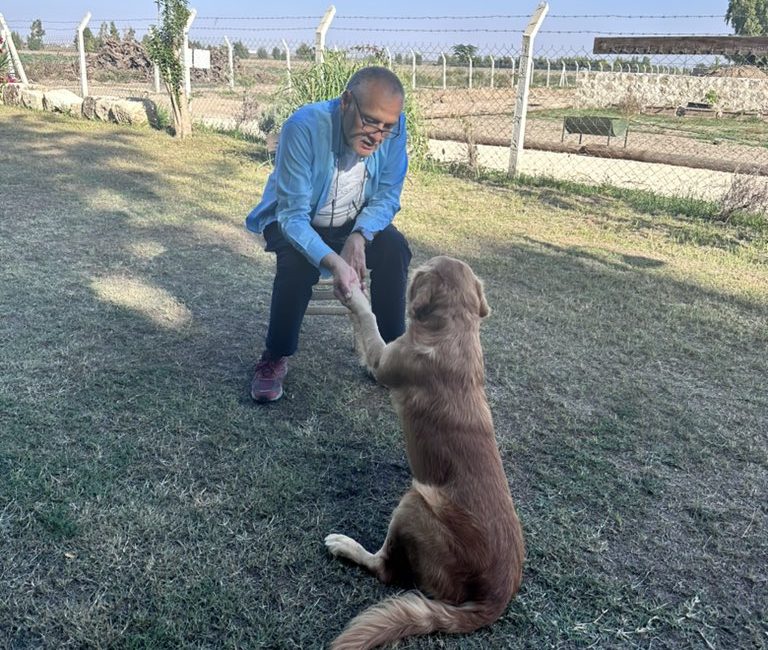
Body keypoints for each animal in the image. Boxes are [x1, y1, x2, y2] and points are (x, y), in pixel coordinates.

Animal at [324, 254, 528, 648]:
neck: (455, 331)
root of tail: (495, 598)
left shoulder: (385, 358)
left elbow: (368, 317)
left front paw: (354, 293)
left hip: (415, 501)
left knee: (386, 569)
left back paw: (346, 545)